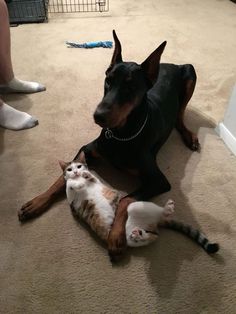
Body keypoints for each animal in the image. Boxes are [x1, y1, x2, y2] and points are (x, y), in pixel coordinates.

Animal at [18, 29, 199, 260]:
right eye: (108, 80)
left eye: (130, 86)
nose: (98, 115)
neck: (121, 134)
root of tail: (170, 64)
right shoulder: (88, 150)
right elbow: (60, 178)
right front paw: (36, 202)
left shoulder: (158, 180)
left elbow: (125, 200)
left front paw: (115, 237)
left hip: (190, 73)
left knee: (180, 114)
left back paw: (189, 136)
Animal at [58, 159, 219, 253]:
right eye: (69, 169)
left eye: (79, 166)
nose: (76, 171)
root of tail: (156, 222)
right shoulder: (72, 201)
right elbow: (69, 185)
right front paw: (76, 182)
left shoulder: (99, 184)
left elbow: (91, 178)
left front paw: (85, 175)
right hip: (126, 236)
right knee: (150, 237)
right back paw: (140, 234)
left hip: (133, 207)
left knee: (156, 225)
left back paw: (166, 210)